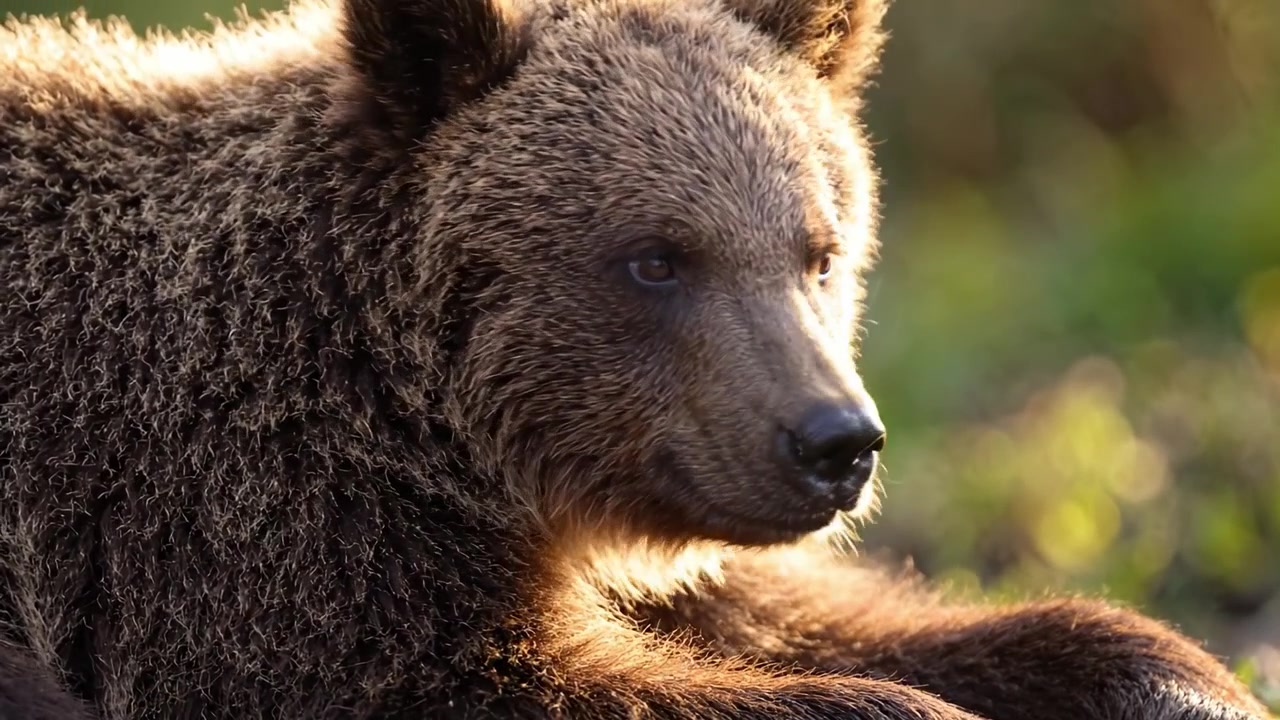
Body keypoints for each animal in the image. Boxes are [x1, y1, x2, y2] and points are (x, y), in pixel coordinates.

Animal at [0, 0, 1271, 718]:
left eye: (817, 248)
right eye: (655, 257)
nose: (836, 444)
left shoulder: (667, 493)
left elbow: (818, 614)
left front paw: (1181, 684)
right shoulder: (244, 532)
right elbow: (481, 680)